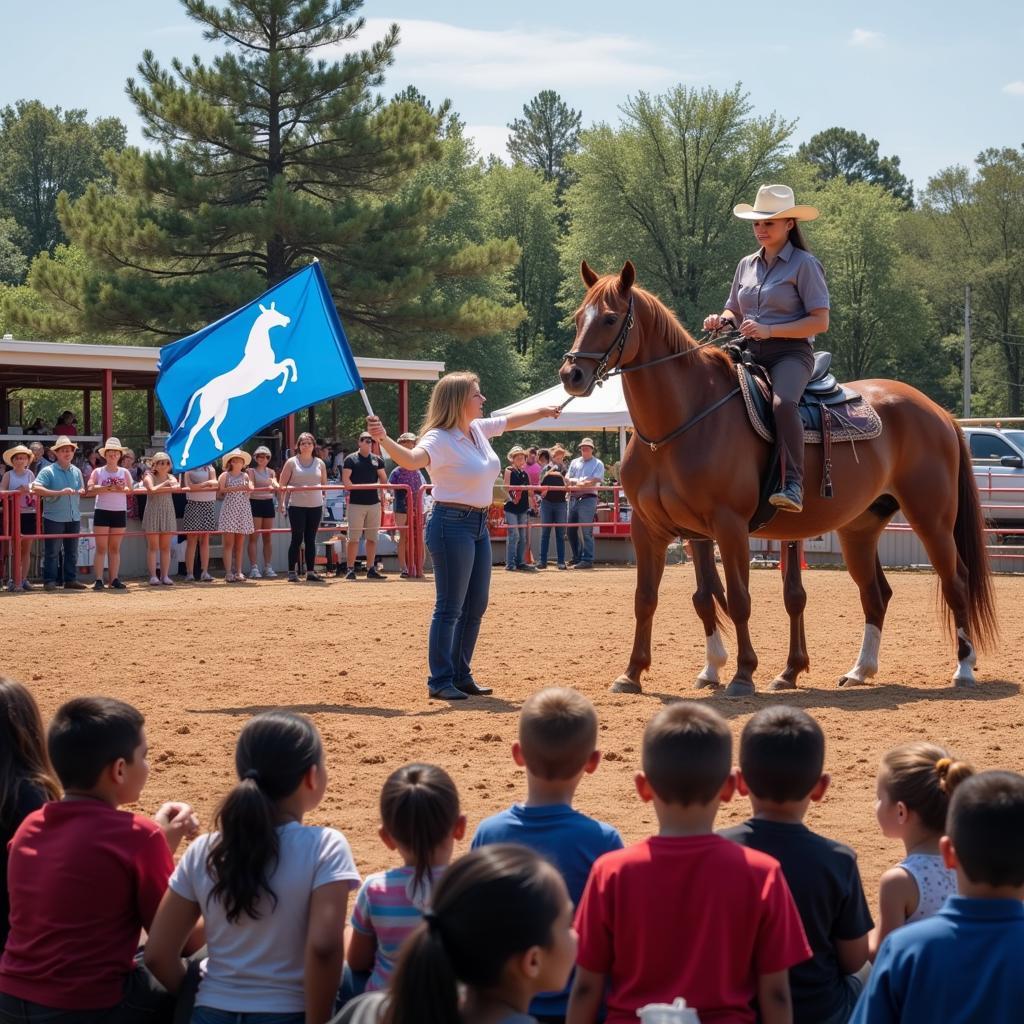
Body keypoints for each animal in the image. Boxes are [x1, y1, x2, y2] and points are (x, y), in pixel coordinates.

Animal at [557, 262, 995, 696]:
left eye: (610, 318)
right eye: (578, 317)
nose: (571, 374)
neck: (679, 424)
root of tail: (938, 412)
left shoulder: (729, 526)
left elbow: (738, 599)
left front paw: (742, 674)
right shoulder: (660, 530)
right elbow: (664, 598)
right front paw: (637, 673)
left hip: (932, 520)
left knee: (956, 582)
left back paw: (963, 669)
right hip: (859, 527)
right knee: (876, 594)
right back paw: (860, 670)